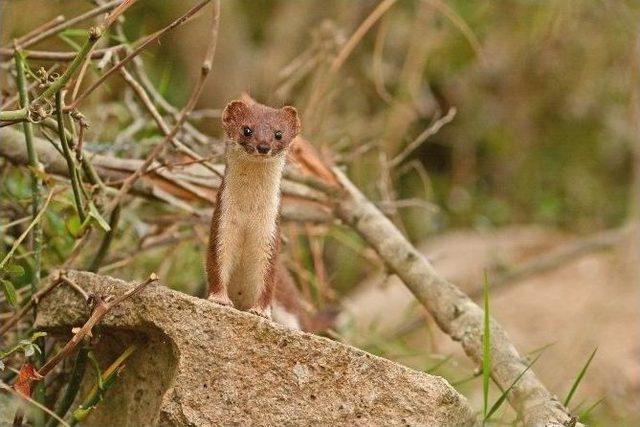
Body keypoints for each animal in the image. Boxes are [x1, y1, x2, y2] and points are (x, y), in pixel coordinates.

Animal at [208, 100, 302, 320]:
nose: (263, 146)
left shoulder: (270, 231)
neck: (248, 212)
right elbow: (217, 262)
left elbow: (267, 277)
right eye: (247, 129)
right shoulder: (222, 222)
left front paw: (260, 311)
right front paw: (220, 299)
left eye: (279, 133)